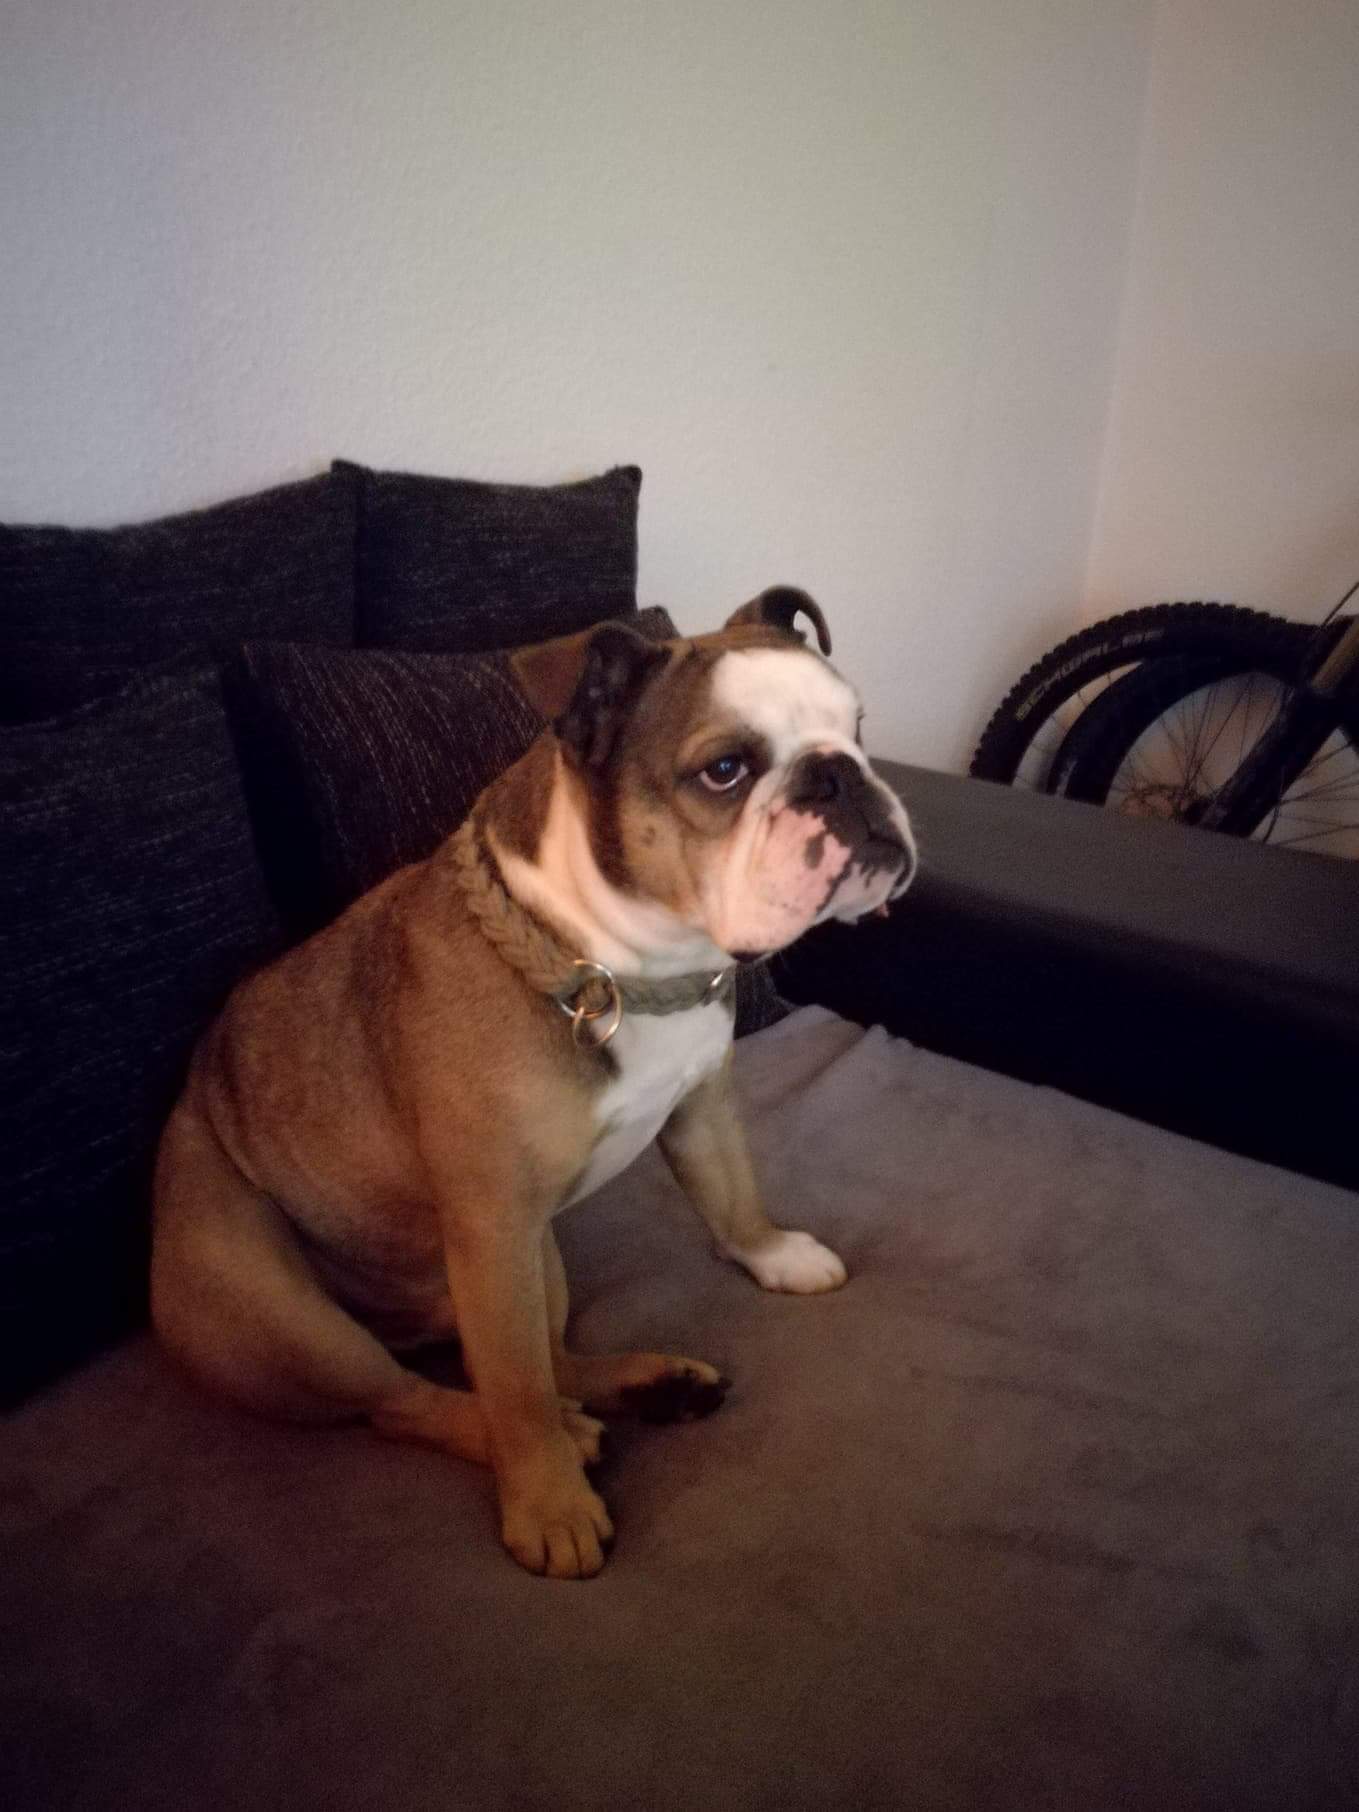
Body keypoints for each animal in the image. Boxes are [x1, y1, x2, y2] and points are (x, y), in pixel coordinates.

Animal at [151, 588, 915, 1578]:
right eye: (725, 771)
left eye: (855, 730)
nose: (841, 777)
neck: (621, 964)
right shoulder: (494, 1222)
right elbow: (511, 1393)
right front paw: (547, 1506)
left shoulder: (700, 1103)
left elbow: (729, 1193)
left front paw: (772, 1252)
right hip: (279, 1312)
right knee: (417, 1399)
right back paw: (557, 1441)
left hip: (535, 1263)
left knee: (546, 1360)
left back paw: (641, 1388)